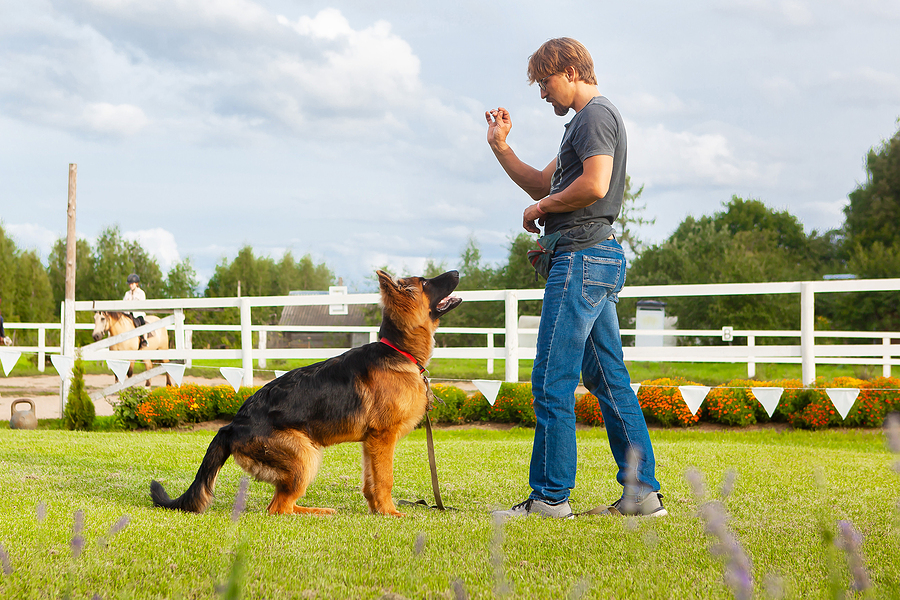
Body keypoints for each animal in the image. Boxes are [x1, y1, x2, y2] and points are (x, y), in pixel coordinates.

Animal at [150, 270, 460, 516]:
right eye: (425, 282)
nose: (457, 272)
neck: (398, 350)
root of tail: (231, 426)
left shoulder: (371, 443)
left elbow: (370, 482)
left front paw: (376, 510)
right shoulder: (383, 438)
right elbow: (385, 480)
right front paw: (390, 513)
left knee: (280, 504)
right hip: (306, 454)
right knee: (278, 508)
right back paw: (317, 511)